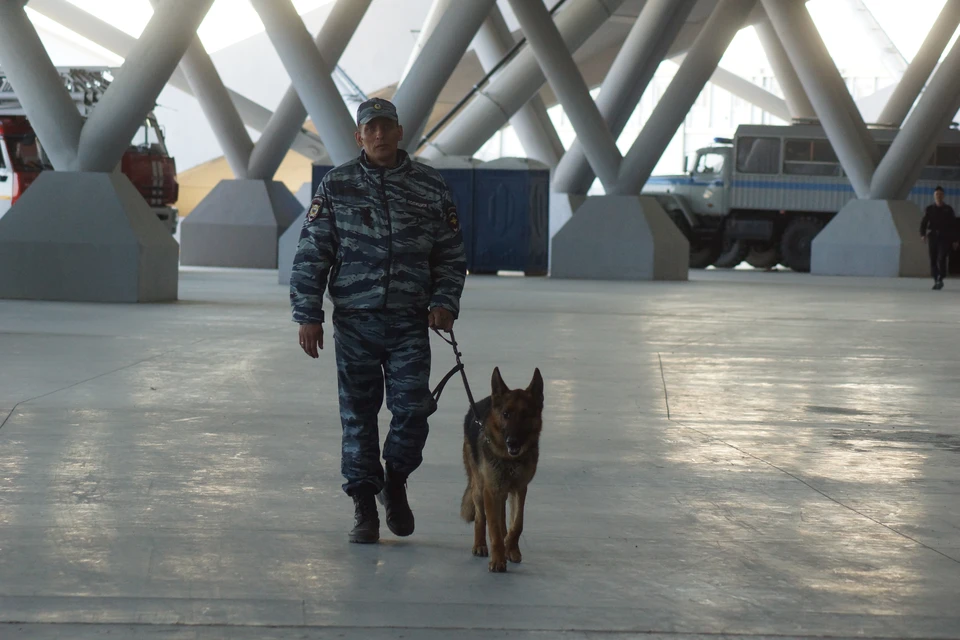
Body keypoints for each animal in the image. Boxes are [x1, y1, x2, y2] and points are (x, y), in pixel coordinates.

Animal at [462, 368, 544, 572]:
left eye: (525, 415)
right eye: (506, 414)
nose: (512, 442)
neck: (509, 460)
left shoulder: (519, 489)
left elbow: (517, 524)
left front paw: (511, 548)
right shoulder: (491, 491)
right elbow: (493, 527)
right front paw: (498, 559)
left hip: (503, 492)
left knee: (502, 519)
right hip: (480, 489)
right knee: (480, 518)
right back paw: (480, 545)